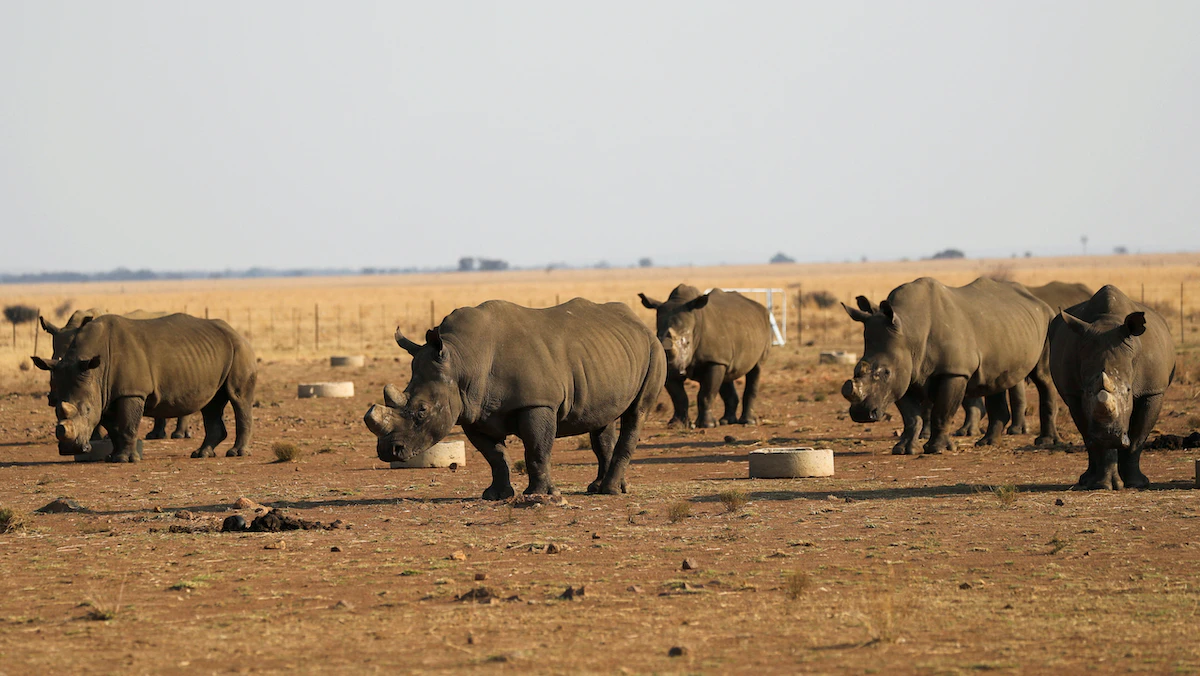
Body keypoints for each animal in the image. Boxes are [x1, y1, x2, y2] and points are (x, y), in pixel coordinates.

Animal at [363, 299, 666, 499]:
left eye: (422, 411)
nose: (388, 451)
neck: (462, 359)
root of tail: (639, 323)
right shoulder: (473, 411)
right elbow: (495, 456)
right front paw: (496, 495)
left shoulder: (537, 402)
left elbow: (536, 449)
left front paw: (539, 496)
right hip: (607, 355)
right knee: (602, 421)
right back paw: (602, 488)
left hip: (655, 349)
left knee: (636, 413)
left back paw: (610, 491)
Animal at [637, 285, 771, 428]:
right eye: (658, 339)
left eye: (687, 343)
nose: (673, 369)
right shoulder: (715, 358)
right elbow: (678, 397)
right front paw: (676, 424)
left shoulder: (713, 360)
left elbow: (706, 393)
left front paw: (707, 425)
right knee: (727, 374)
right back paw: (726, 421)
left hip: (763, 327)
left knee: (756, 369)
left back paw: (748, 422)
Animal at [841, 277, 1058, 454]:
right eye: (856, 370)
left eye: (885, 372)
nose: (861, 414)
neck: (910, 331)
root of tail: (1040, 302)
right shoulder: (904, 375)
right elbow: (911, 417)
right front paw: (903, 449)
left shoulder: (953, 372)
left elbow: (942, 411)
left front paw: (937, 449)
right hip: (1008, 327)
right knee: (995, 380)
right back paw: (987, 443)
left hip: (1049, 320)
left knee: (1043, 377)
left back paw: (1045, 442)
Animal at [1049, 285, 1175, 490]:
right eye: (1086, 391)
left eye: (1129, 391)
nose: (1108, 435)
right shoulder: (1074, 393)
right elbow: (1091, 438)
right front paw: (1103, 485)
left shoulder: (1153, 391)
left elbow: (1138, 438)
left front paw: (1137, 483)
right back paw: (1086, 481)